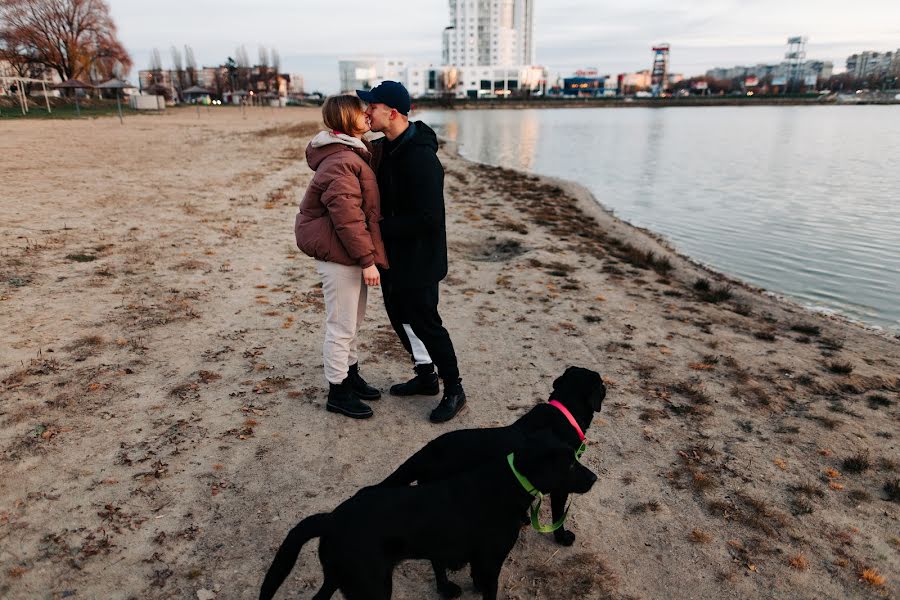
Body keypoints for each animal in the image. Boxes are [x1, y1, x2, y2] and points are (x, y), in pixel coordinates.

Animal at [260, 436, 596, 600]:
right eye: (569, 466)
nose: (594, 478)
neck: (509, 481)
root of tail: (330, 519)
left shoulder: (478, 562)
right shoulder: (491, 562)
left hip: (341, 578)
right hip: (372, 587)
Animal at [380, 366, 604, 596]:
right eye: (602, 385)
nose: (594, 478)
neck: (565, 412)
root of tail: (428, 451)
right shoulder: (561, 486)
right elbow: (559, 515)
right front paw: (562, 537)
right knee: (437, 559)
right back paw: (446, 588)